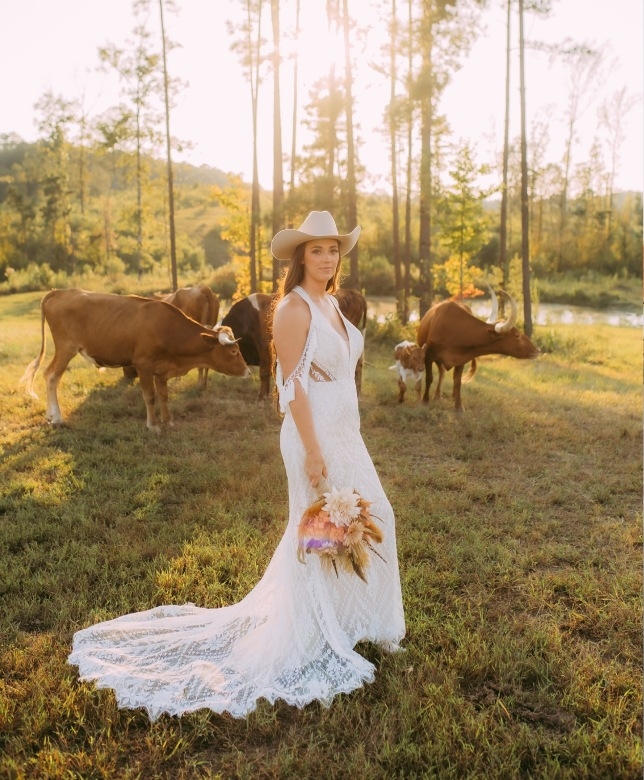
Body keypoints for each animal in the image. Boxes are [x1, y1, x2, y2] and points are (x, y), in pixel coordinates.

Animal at [22, 288, 249, 432]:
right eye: (233, 351)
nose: (248, 372)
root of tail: (60, 291)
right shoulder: (143, 364)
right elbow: (150, 396)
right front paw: (153, 425)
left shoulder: (162, 369)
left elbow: (164, 395)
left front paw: (168, 421)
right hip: (66, 347)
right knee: (51, 376)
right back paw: (58, 418)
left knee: (48, 374)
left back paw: (50, 416)